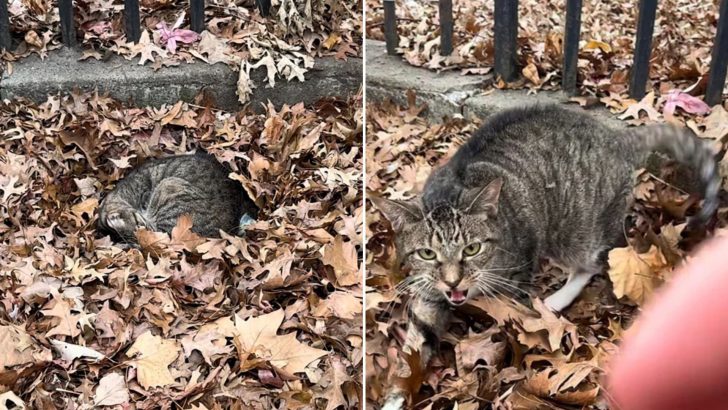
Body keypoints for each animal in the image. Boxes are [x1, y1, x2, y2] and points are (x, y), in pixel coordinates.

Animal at [372, 104, 720, 408]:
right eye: (427, 253)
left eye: (472, 249)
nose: (453, 282)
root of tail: (615, 136)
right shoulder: (428, 292)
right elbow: (416, 342)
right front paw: (397, 394)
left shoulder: (516, 277)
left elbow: (509, 331)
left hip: (573, 233)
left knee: (592, 263)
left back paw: (555, 300)